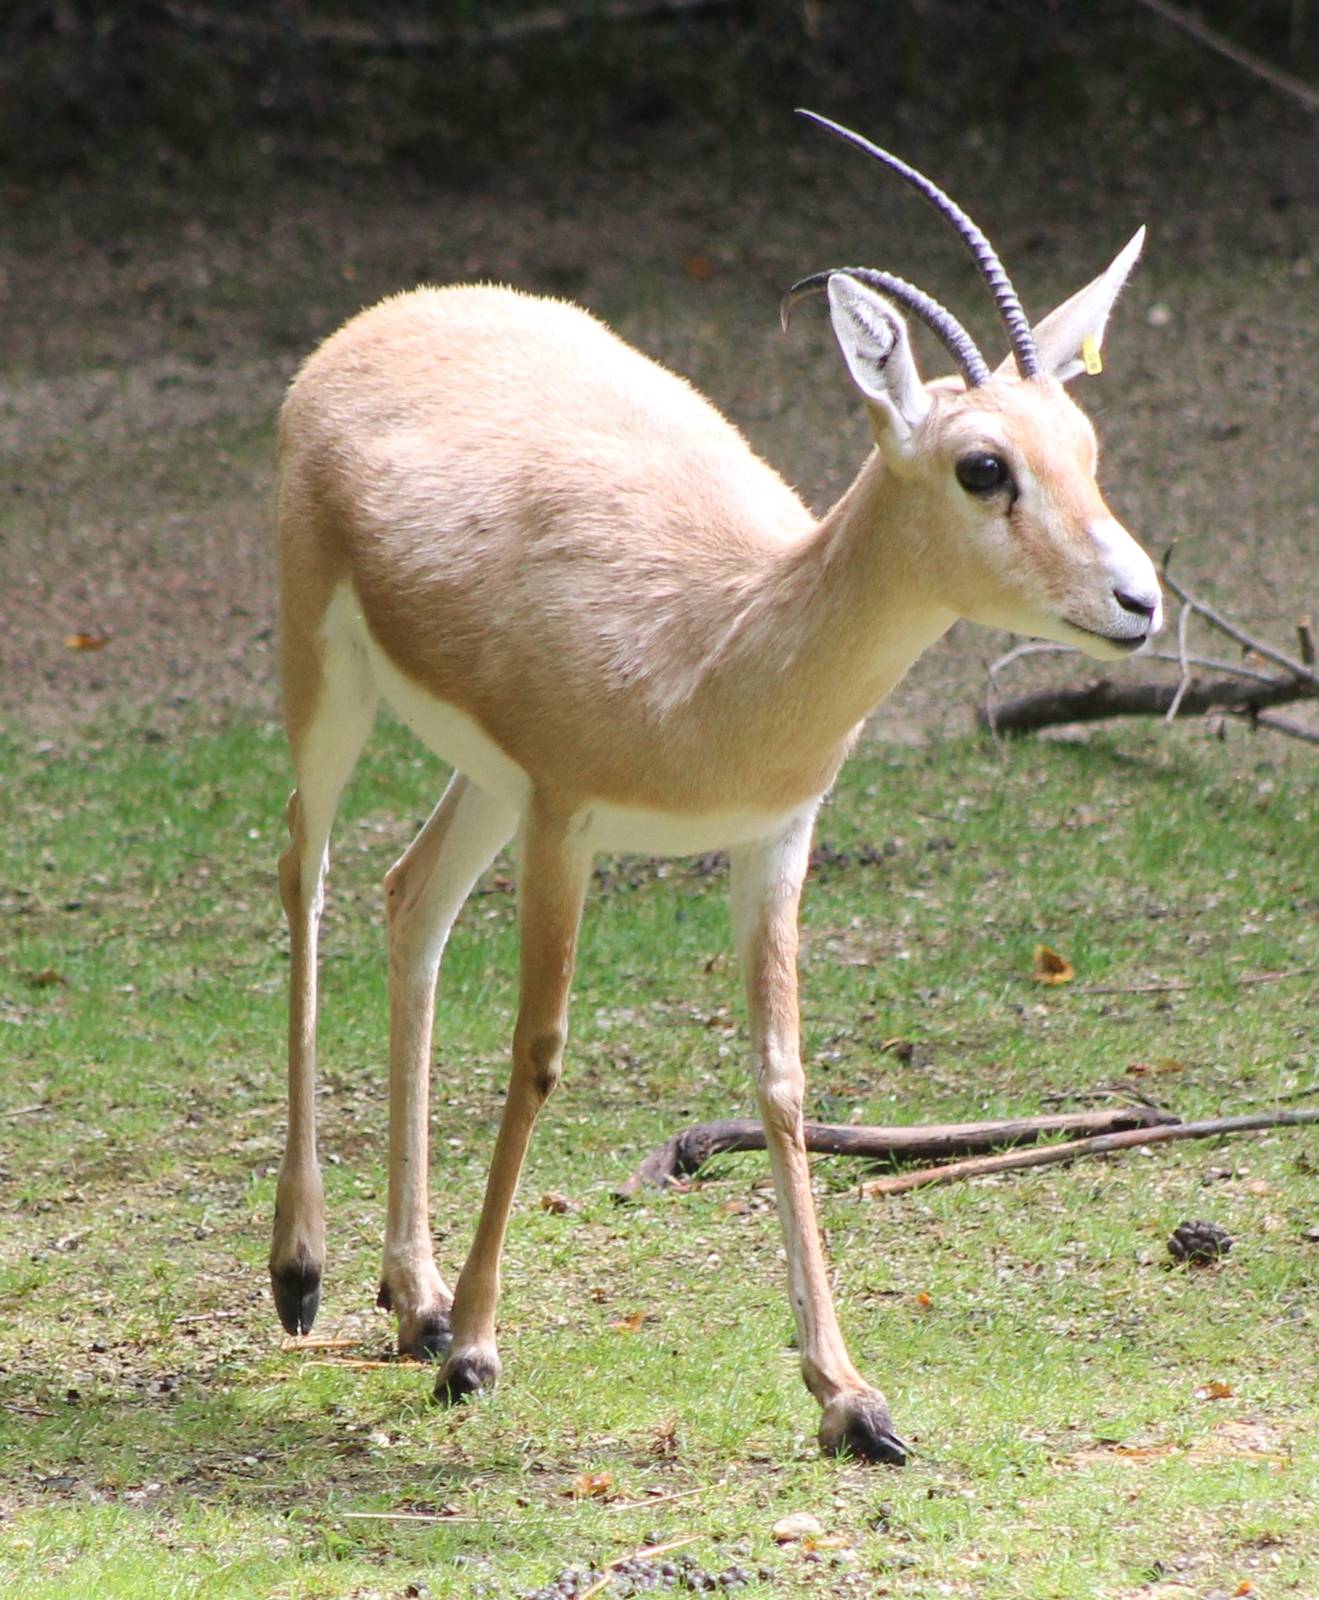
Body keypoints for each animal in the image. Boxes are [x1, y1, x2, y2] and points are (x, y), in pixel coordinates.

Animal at [269, 112, 1162, 1465]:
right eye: (981, 465)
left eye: (1088, 450)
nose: (1136, 601)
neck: (719, 643)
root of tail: (390, 315)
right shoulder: (565, 819)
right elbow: (538, 1050)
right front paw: (478, 1349)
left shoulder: (770, 839)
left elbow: (782, 1080)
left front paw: (849, 1396)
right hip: (328, 681)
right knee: (305, 873)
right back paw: (307, 1274)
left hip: (481, 778)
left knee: (407, 900)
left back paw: (410, 1296)